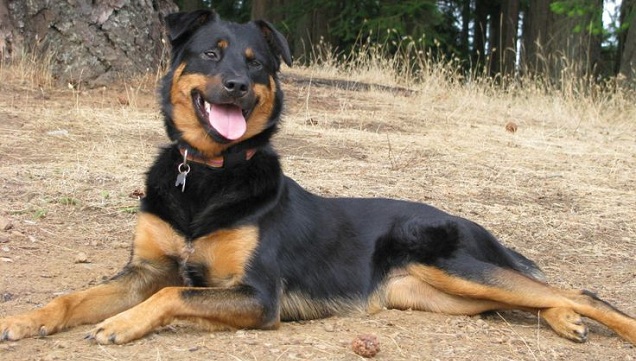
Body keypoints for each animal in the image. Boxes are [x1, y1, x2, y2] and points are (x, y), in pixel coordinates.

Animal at [1, 9, 636, 344]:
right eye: (212, 54)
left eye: (257, 63)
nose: (237, 85)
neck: (207, 175)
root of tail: (465, 219)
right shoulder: (142, 270)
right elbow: (74, 296)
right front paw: (25, 319)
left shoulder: (257, 296)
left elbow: (173, 293)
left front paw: (122, 323)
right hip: (444, 293)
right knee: (534, 300)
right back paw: (565, 320)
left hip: (454, 265)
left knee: (578, 290)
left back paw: (596, 320)